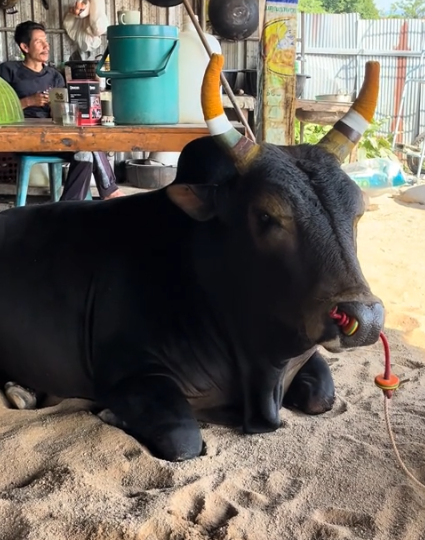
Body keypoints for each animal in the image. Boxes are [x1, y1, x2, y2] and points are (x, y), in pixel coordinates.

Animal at [0, 54, 384, 462]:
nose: (365, 317)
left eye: (358, 210)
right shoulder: (131, 373)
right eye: (266, 215)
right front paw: (110, 414)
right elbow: (183, 438)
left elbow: (322, 395)